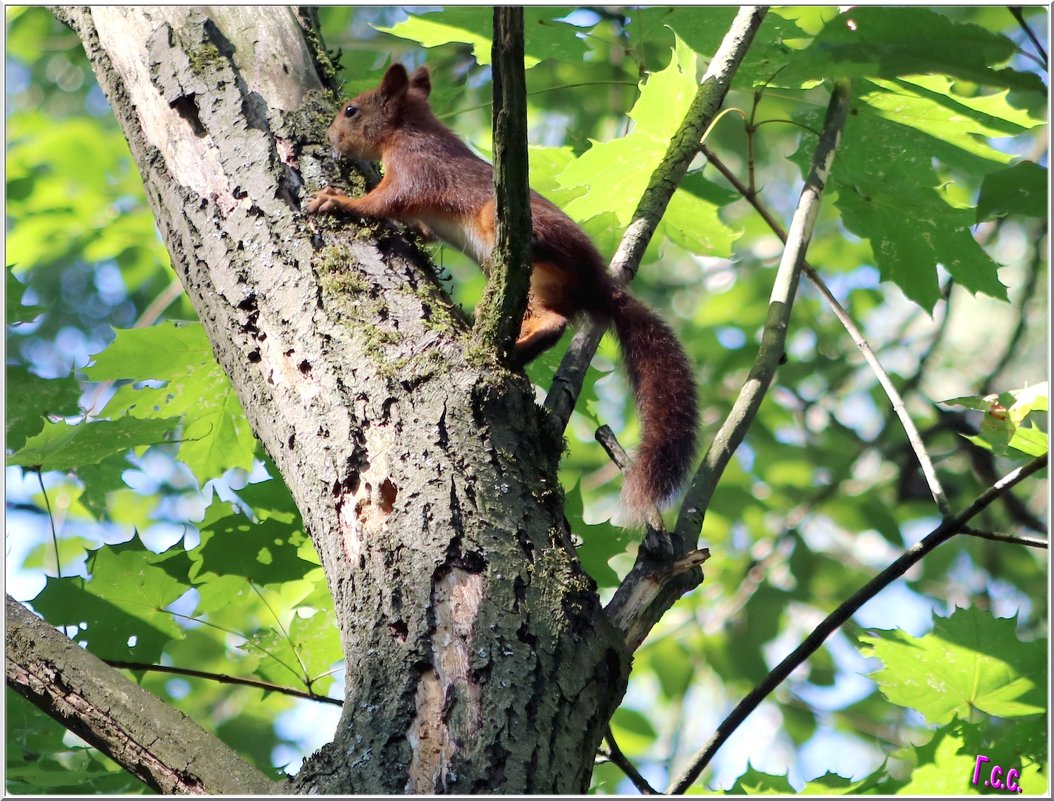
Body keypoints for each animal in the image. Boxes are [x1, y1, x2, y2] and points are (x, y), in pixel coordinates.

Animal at [307, 64, 699, 524]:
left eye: (351, 110)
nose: (331, 136)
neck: (409, 129)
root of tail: (598, 283)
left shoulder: (415, 169)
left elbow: (383, 203)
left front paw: (337, 200)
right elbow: (419, 226)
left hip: (504, 224)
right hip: (541, 292)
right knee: (552, 320)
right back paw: (518, 345)